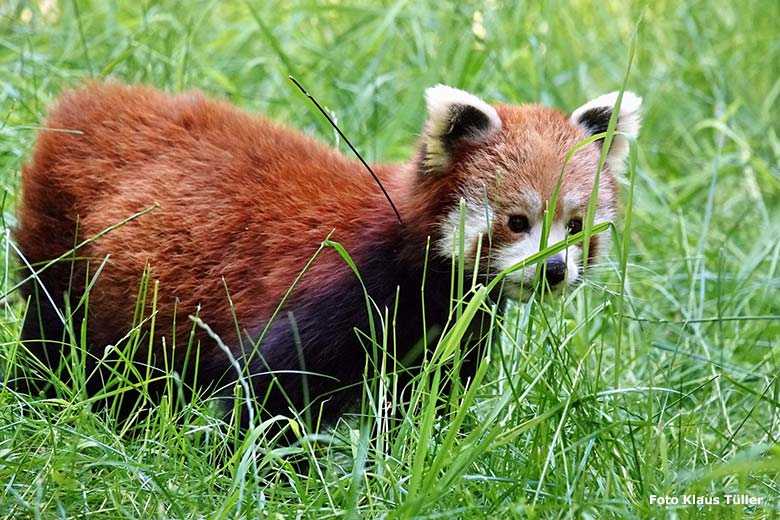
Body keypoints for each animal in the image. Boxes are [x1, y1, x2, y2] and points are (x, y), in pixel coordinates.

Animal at [15, 82, 640, 426]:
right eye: (517, 222)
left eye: (575, 227)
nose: (554, 269)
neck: (422, 284)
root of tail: (92, 101)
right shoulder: (335, 290)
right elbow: (269, 395)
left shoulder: (445, 334)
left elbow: (424, 407)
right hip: (65, 258)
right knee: (58, 348)